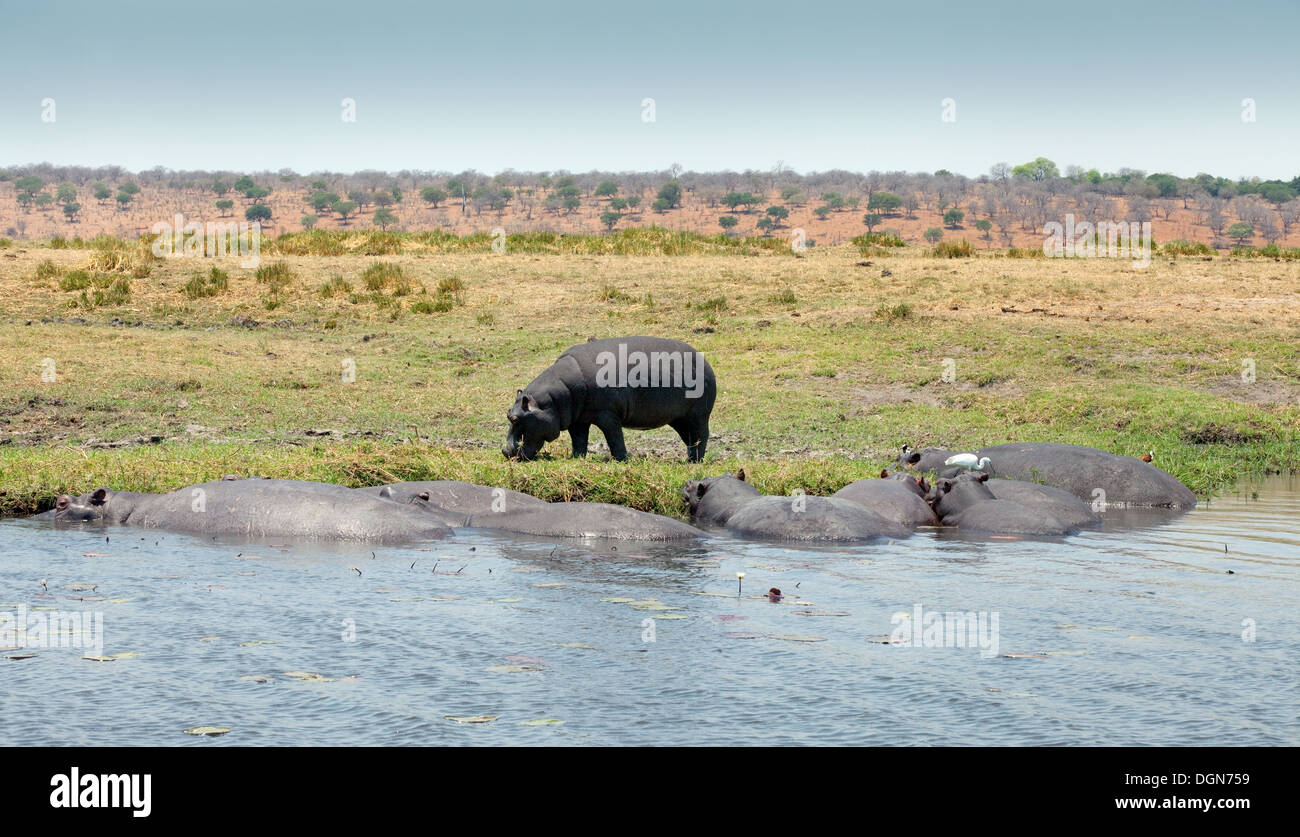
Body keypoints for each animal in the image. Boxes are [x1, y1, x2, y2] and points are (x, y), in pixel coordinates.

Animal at [499, 335, 722, 465]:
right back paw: (690, 459)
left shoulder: (607, 415)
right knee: (691, 439)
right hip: (678, 418)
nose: (505, 451)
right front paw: (576, 458)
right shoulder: (578, 419)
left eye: (516, 419)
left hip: (699, 415)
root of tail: (705, 362)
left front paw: (621, 460)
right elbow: (579, 440)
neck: (554, 399)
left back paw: (694, 462)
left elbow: (614, 438)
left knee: (702, 436)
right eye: (508, 414)